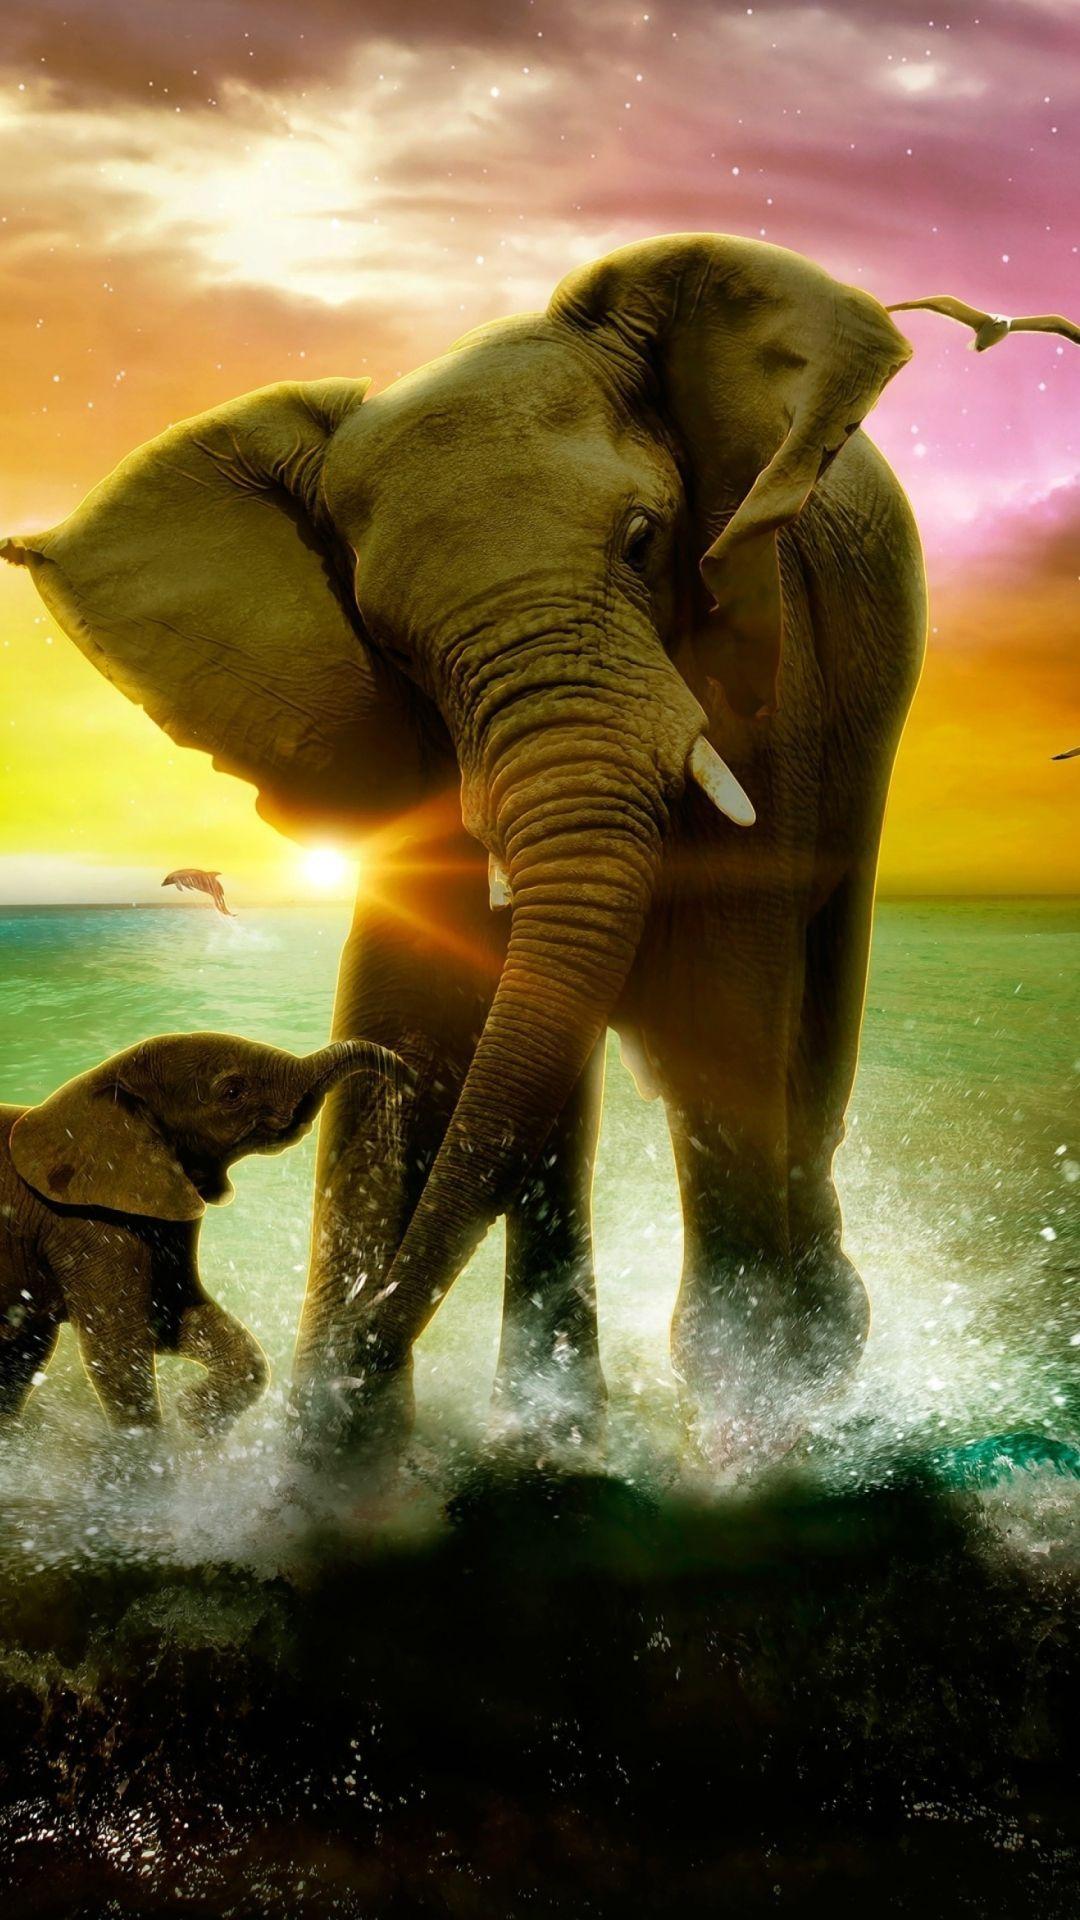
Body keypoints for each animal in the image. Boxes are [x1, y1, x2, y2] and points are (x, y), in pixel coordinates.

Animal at [0, 1034, 397, 1432]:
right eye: (233, 1092)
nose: (400, 1072)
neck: (103, 1082)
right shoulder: (87, 1227)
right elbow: (117, 1350)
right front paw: (157, 1443)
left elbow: (171, 1313)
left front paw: (195, 1417)